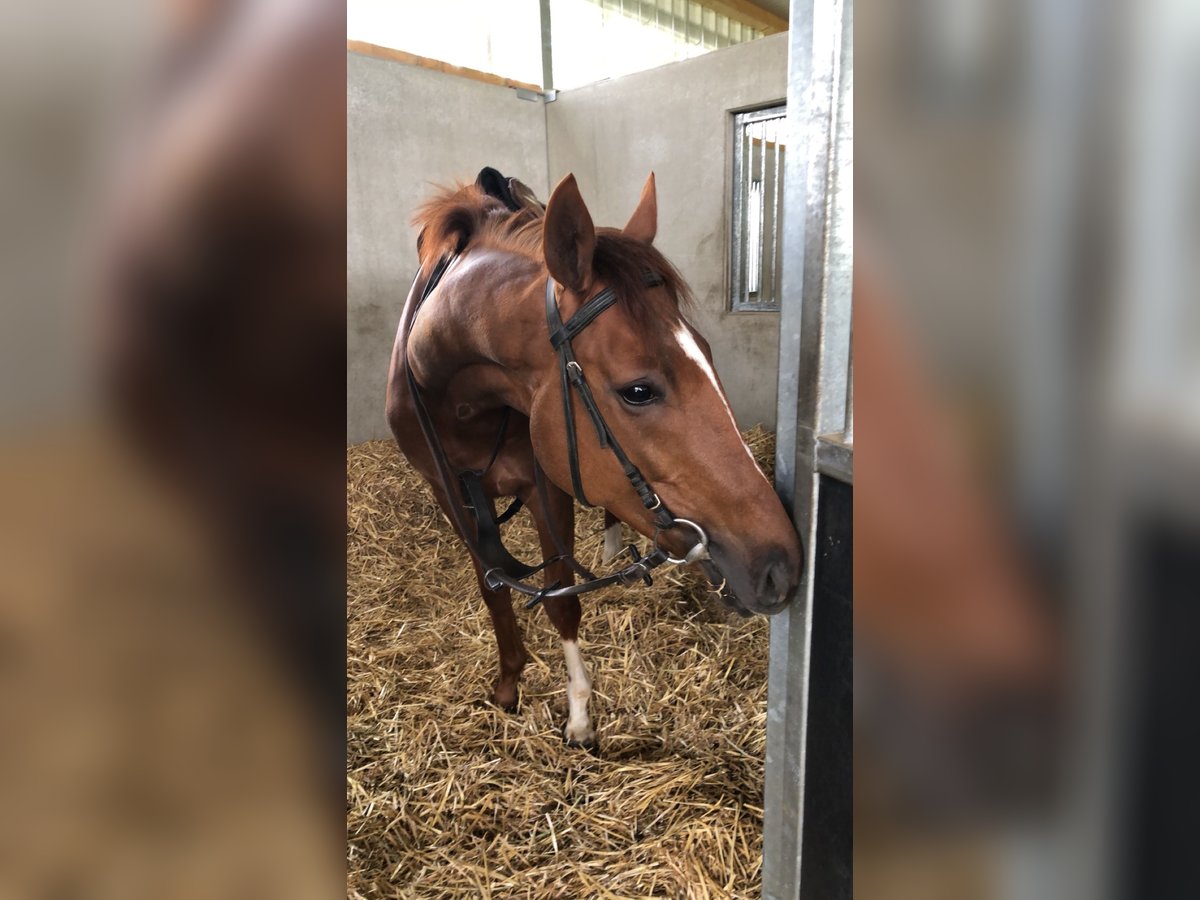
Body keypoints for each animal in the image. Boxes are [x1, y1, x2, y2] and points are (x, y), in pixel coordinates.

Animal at [386, 169, 796, 748]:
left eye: (709, 354)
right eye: (638, 391)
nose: (784, 567)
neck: (457, 394)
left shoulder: (547, 485)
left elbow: (561, 598)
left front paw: (578, 715)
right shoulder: (448, 494)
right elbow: (493, 588)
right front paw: (509, 684)